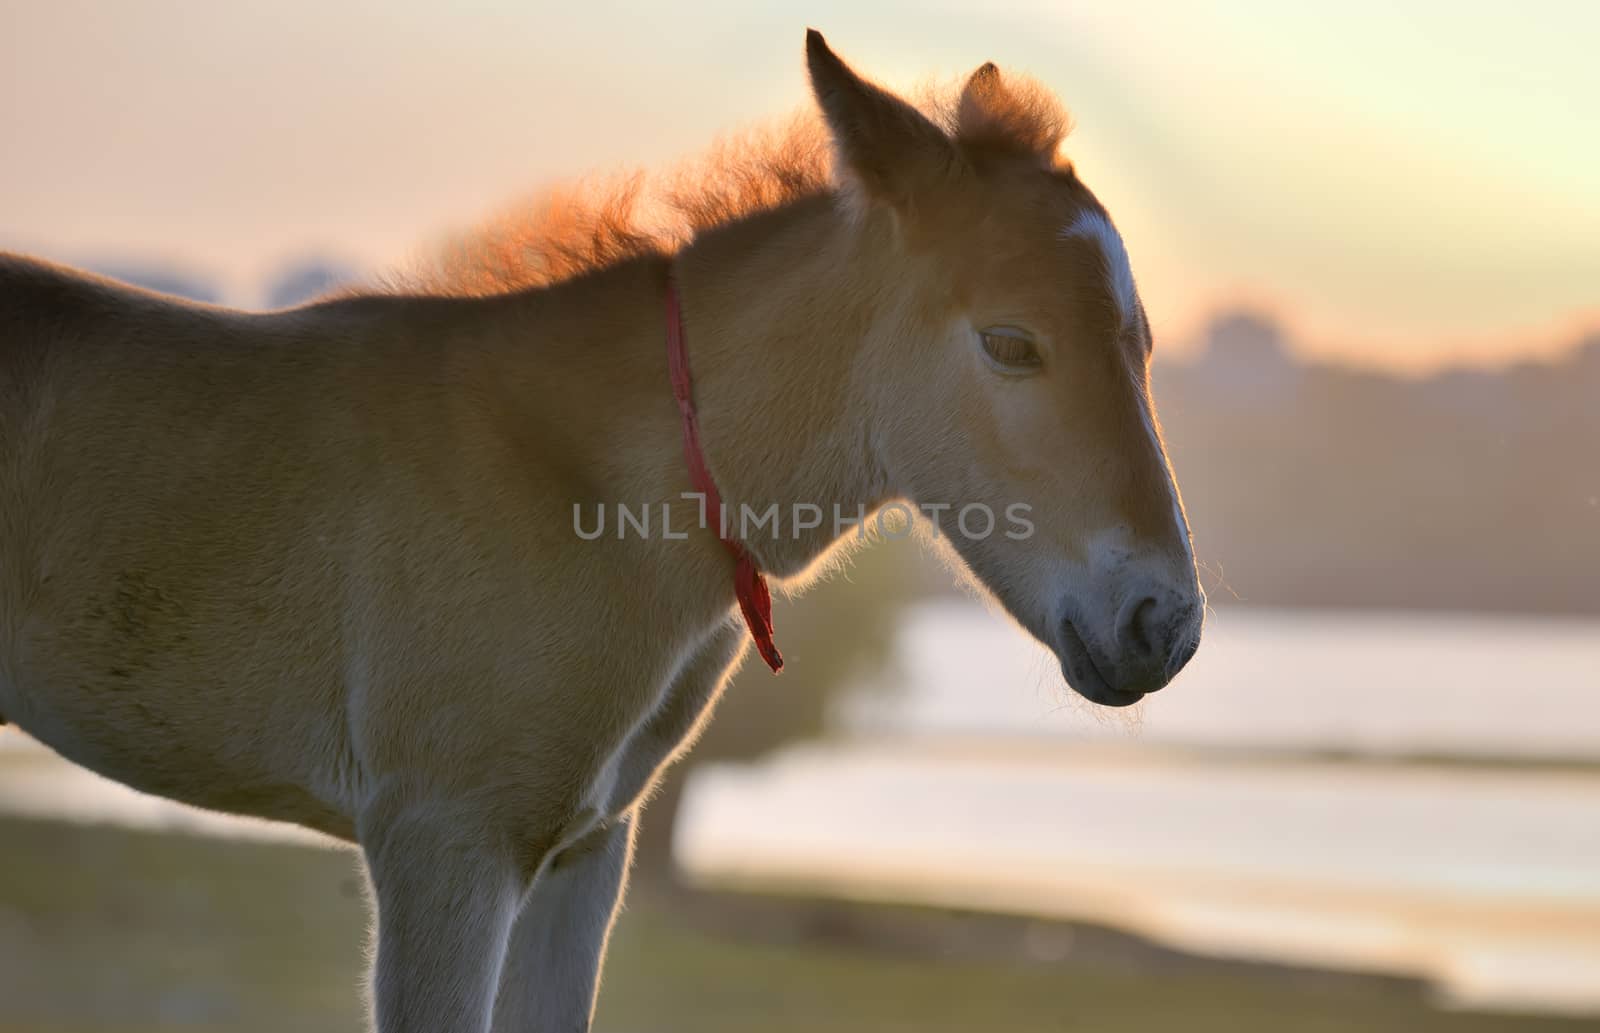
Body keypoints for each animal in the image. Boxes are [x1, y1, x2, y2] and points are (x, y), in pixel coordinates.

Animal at [0, 32, 1203, 1033]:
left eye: (1144, 344)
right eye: (1010, 343)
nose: (1165, 624)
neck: (586, 491)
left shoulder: (579, 851)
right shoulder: (444, 838)